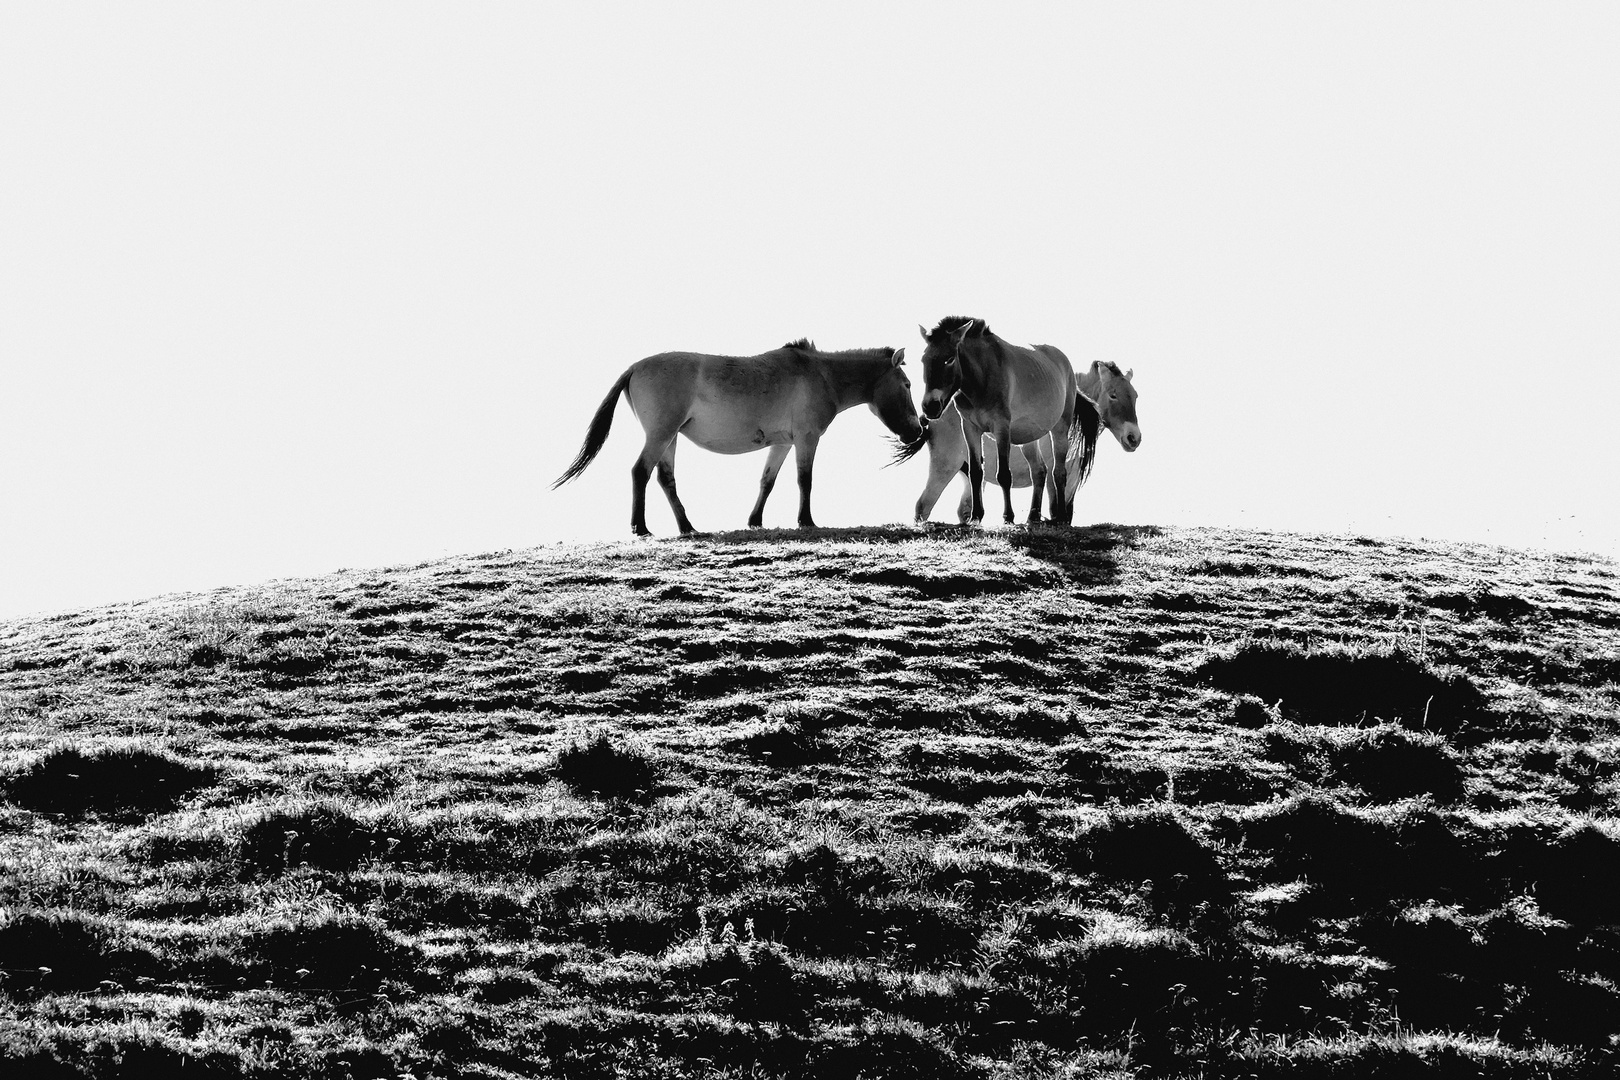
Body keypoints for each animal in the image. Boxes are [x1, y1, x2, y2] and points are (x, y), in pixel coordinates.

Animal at [554, 338, 926, 537]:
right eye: (908, 384)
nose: (917, 431)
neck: (821, 374)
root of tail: (633, 368)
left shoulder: (783, 443)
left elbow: (767, 481)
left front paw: (755, 521)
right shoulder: (806, 439)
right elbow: (804, 480)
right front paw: (806, 521)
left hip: (669, 438)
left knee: (665, 478)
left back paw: (687, 527)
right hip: (661, 435)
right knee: (640, 472)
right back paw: (641, 528)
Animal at [894, 317, 1082, 527]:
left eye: (949, 359)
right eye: (924, 360)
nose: (930, 407)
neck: (981, 379)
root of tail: (1063, 360)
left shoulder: (1001, 427)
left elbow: (1004, 474)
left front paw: (1008, 517)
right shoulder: (970, 428)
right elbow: (976, 472)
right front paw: (976, 516)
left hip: (1060, 428)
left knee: (1059, 472)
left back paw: (1061, 517)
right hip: (1029, 437)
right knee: (1039, 471)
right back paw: (1033, 517)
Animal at [913, 361, 1153, 524]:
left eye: (1135, 396)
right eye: (1113, 395)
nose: (1134, 437)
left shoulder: (1072, 478)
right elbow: (1052, 500)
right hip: (944, 468)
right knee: (923, 506)